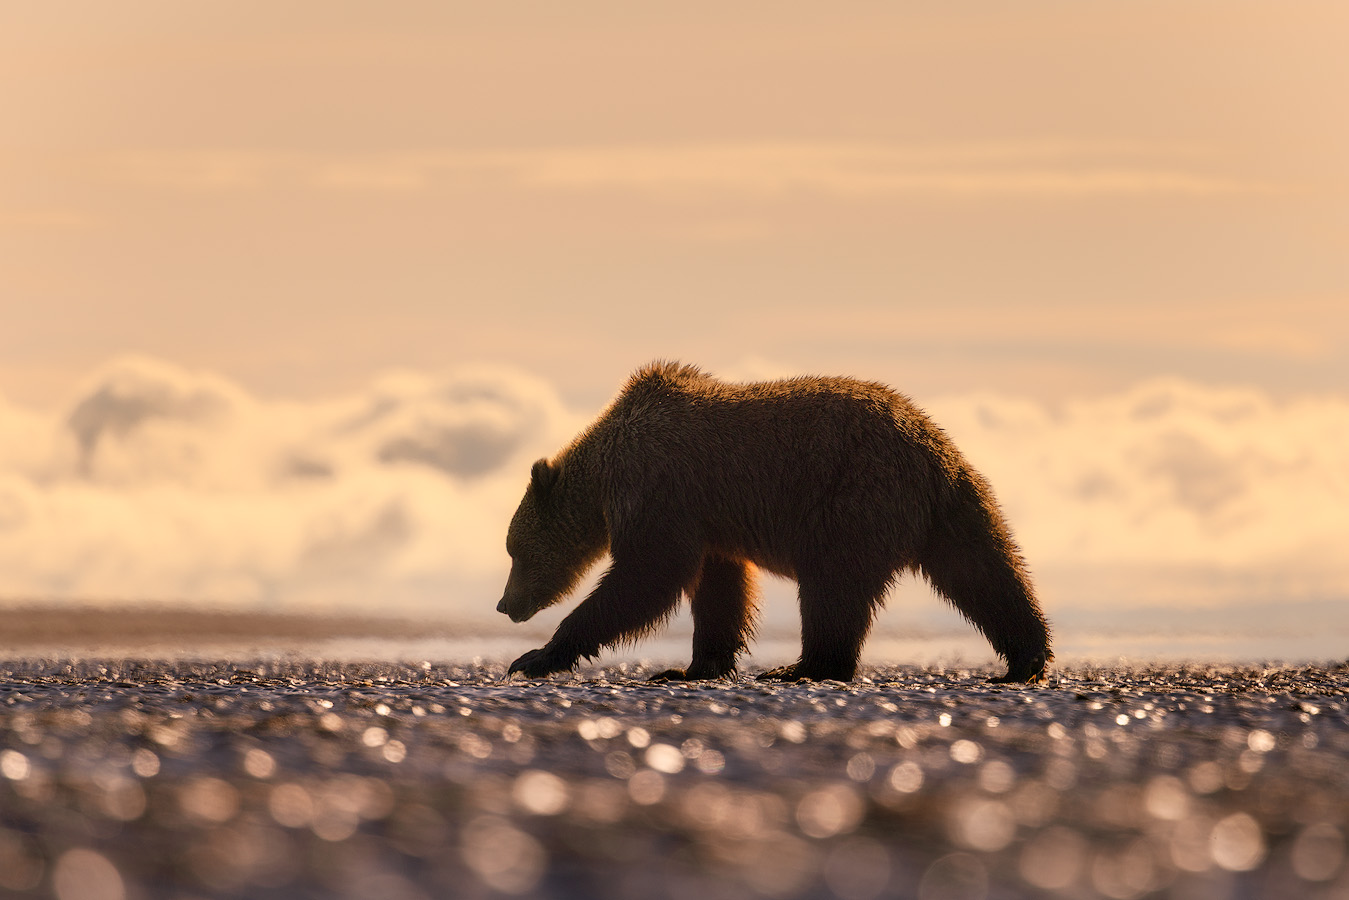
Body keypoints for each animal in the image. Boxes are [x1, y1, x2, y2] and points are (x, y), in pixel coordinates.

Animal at [497, 361, 1052, 684]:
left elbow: (647, 576)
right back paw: (1026, 659)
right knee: (985, 570)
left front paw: (537, 656)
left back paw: (804, 666)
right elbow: (719, 589)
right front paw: (693, 667)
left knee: (833, 587)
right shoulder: (709, 521)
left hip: (852, 500)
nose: (505, 604)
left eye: (514, 552)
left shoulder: (660, 493)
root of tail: (933, 451)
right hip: (950, 508)